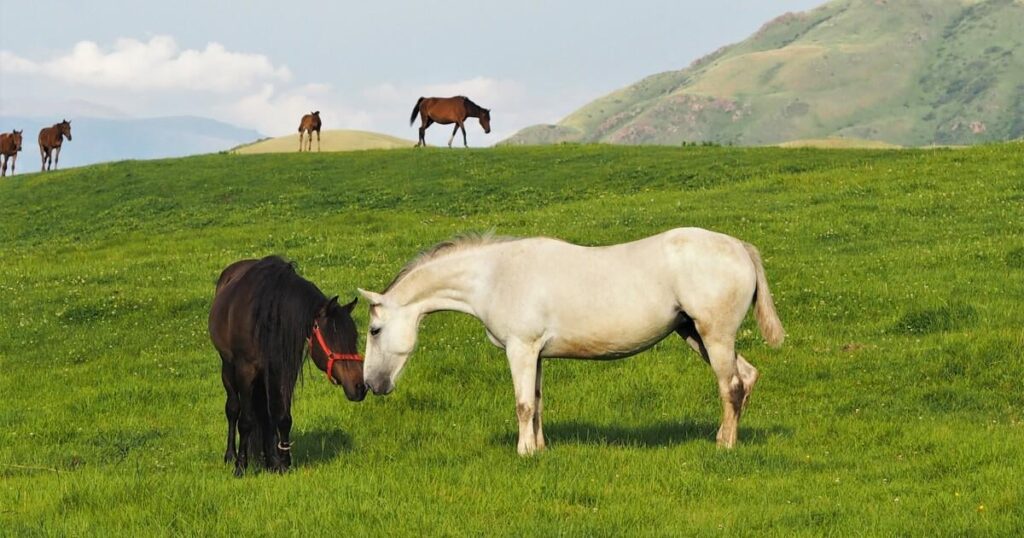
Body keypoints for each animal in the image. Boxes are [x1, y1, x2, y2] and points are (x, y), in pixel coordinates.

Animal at [209, 256, 366, 476]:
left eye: (353, 338)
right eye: (333, 338)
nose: (360, 387)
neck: (267, 317)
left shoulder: (282, 371)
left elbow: (282, 417)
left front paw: (282, 463)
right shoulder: (246, 372)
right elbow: (245, 421)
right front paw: (241, 466)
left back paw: (268, 459)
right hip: (228, 368)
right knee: (233, 409)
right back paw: (231, 455)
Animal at [357, 228, 784, 456]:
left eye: (374, 330)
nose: (371, 385)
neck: (495, 275)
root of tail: (739, 247)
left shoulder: (521, 349)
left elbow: (523, 405)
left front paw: (524, 452)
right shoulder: (536, 354)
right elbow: (538, 403)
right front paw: (540, 449)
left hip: (714, 337)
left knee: (730, 387)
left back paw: (725, 447)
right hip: (697, 336)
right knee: (746, 378)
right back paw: (724, 437)